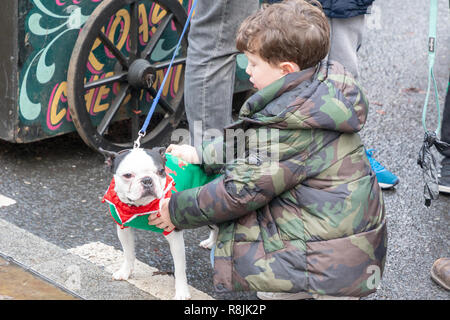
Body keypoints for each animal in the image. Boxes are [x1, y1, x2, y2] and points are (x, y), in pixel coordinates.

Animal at [101, 148, 220, 300]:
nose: (147, 180)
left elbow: (179, 268)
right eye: (127, 175)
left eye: (161, 171)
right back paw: (211, 242)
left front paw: (181, 291)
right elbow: (128, 253)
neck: (142, 207)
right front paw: (125, 272)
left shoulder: (174, 235)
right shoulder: (123, 229)